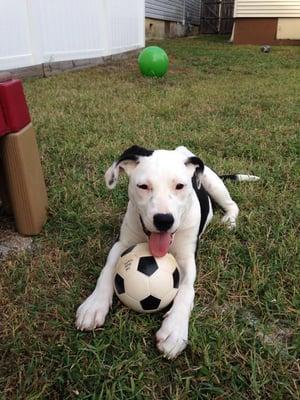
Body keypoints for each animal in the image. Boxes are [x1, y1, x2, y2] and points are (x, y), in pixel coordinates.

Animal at [76, 145, 258, 358]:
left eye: (179, 186)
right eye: (143, 186)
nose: (163, 220)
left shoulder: (187, 259)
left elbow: (186, 289)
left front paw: (175, 329)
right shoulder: (122, 244)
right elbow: (107, 269)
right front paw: (94, 304)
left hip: (214, 184)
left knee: (232, 204)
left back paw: (229, 220)